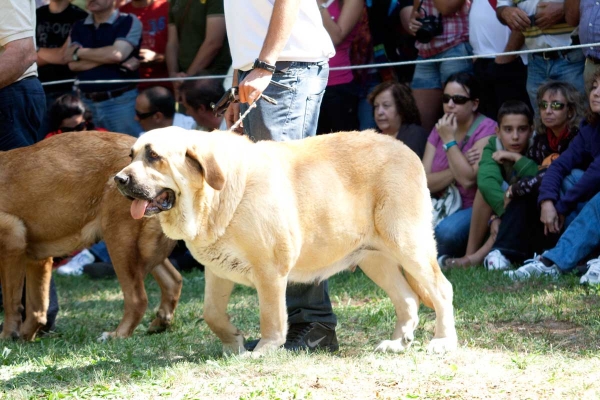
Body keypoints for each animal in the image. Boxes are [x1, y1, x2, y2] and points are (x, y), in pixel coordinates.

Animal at [0, 131, 183, 340]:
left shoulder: (11, 241)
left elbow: (11, 302)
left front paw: (8, 336)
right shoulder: (38, 259)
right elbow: (37, 309)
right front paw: (25, 336)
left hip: (120, 242)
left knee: (138, 299)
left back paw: (116, 335)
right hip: (142, 249)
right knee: (173, 280)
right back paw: (160, 324)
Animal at [115, 127, 458, 354]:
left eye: (154, 157)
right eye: (132, 155)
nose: (118, 179)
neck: (216, 195)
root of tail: (406, 149)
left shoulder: (270, 269)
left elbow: (271, 316)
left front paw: (265, 349)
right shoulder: (217, 270)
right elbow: (211, 313)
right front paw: (234, 340)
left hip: (409, 245)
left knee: (442, 289)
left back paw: (442, 341)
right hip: (375, 258)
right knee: (408, 298)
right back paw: (397, 342)